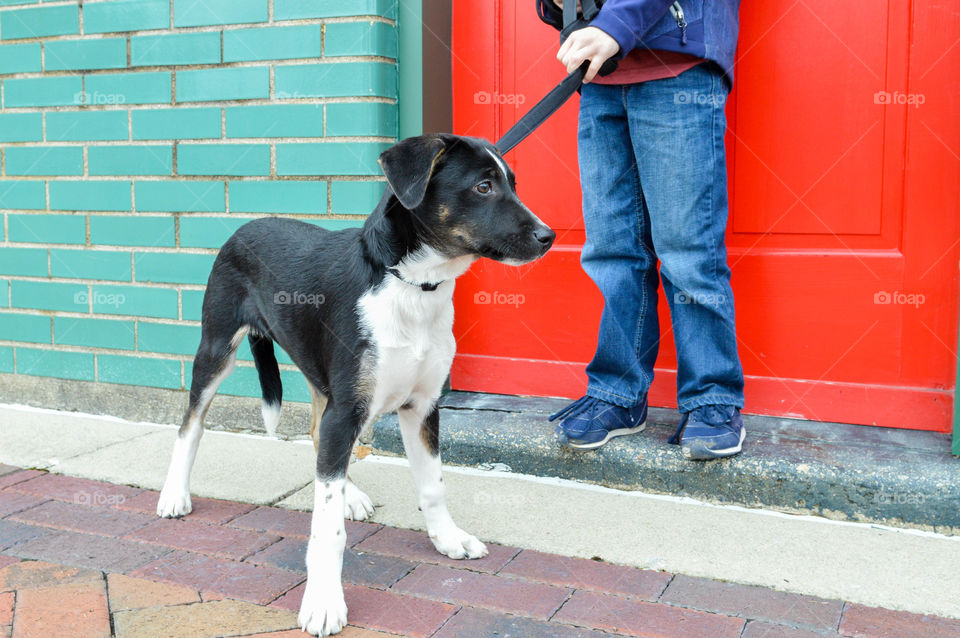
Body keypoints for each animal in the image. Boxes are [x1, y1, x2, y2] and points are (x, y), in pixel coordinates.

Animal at [158, 134, 556, 636]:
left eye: (512, 184)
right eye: (483, 186)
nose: (549, 236)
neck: (412, 286)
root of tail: (246, 225)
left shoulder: (422, 407)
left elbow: (433, 486)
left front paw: (447, 538)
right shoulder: (348, 409)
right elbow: (326, 527)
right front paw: (325, 600)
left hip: (320, 374)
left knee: (315, 433)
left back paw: (352, 494)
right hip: (216, 349)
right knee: (190, 426)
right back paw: (175, 494)